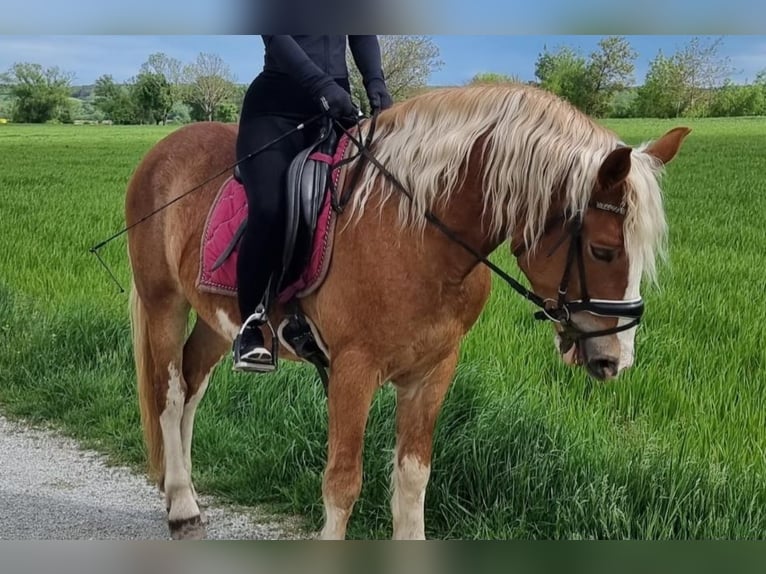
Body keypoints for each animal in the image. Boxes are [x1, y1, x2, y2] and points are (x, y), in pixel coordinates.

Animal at [124, 83, 688, 544]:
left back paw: (183, 493)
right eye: (603, 251)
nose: (616, 359)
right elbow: (342, 483)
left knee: (193, 385)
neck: (418, 233)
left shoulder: (433, 371)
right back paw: (180, 506)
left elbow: (413, 477)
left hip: (217, 322)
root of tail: (160, 151)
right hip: (163, 303)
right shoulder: (353, 371)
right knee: (169, 394)